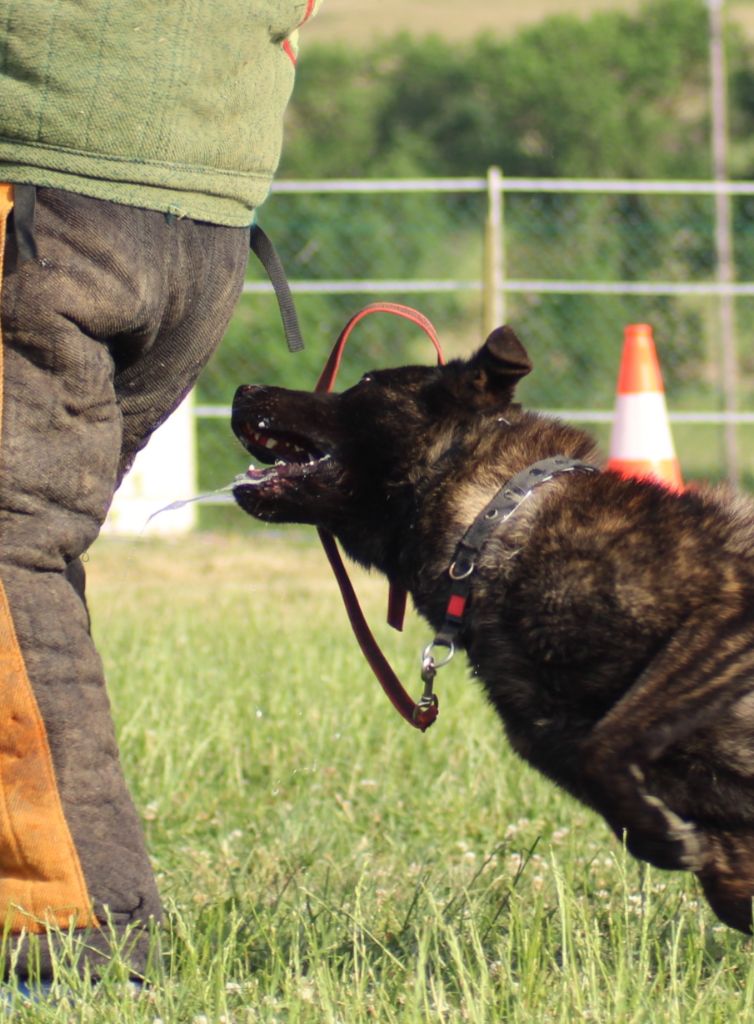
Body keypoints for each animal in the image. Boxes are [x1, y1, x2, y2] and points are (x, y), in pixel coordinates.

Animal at [232, 327, 754, 937]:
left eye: (363, 384)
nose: (244, 390)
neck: (494, 521)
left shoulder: (722, 614)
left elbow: (608, 744)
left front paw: (662, 836)